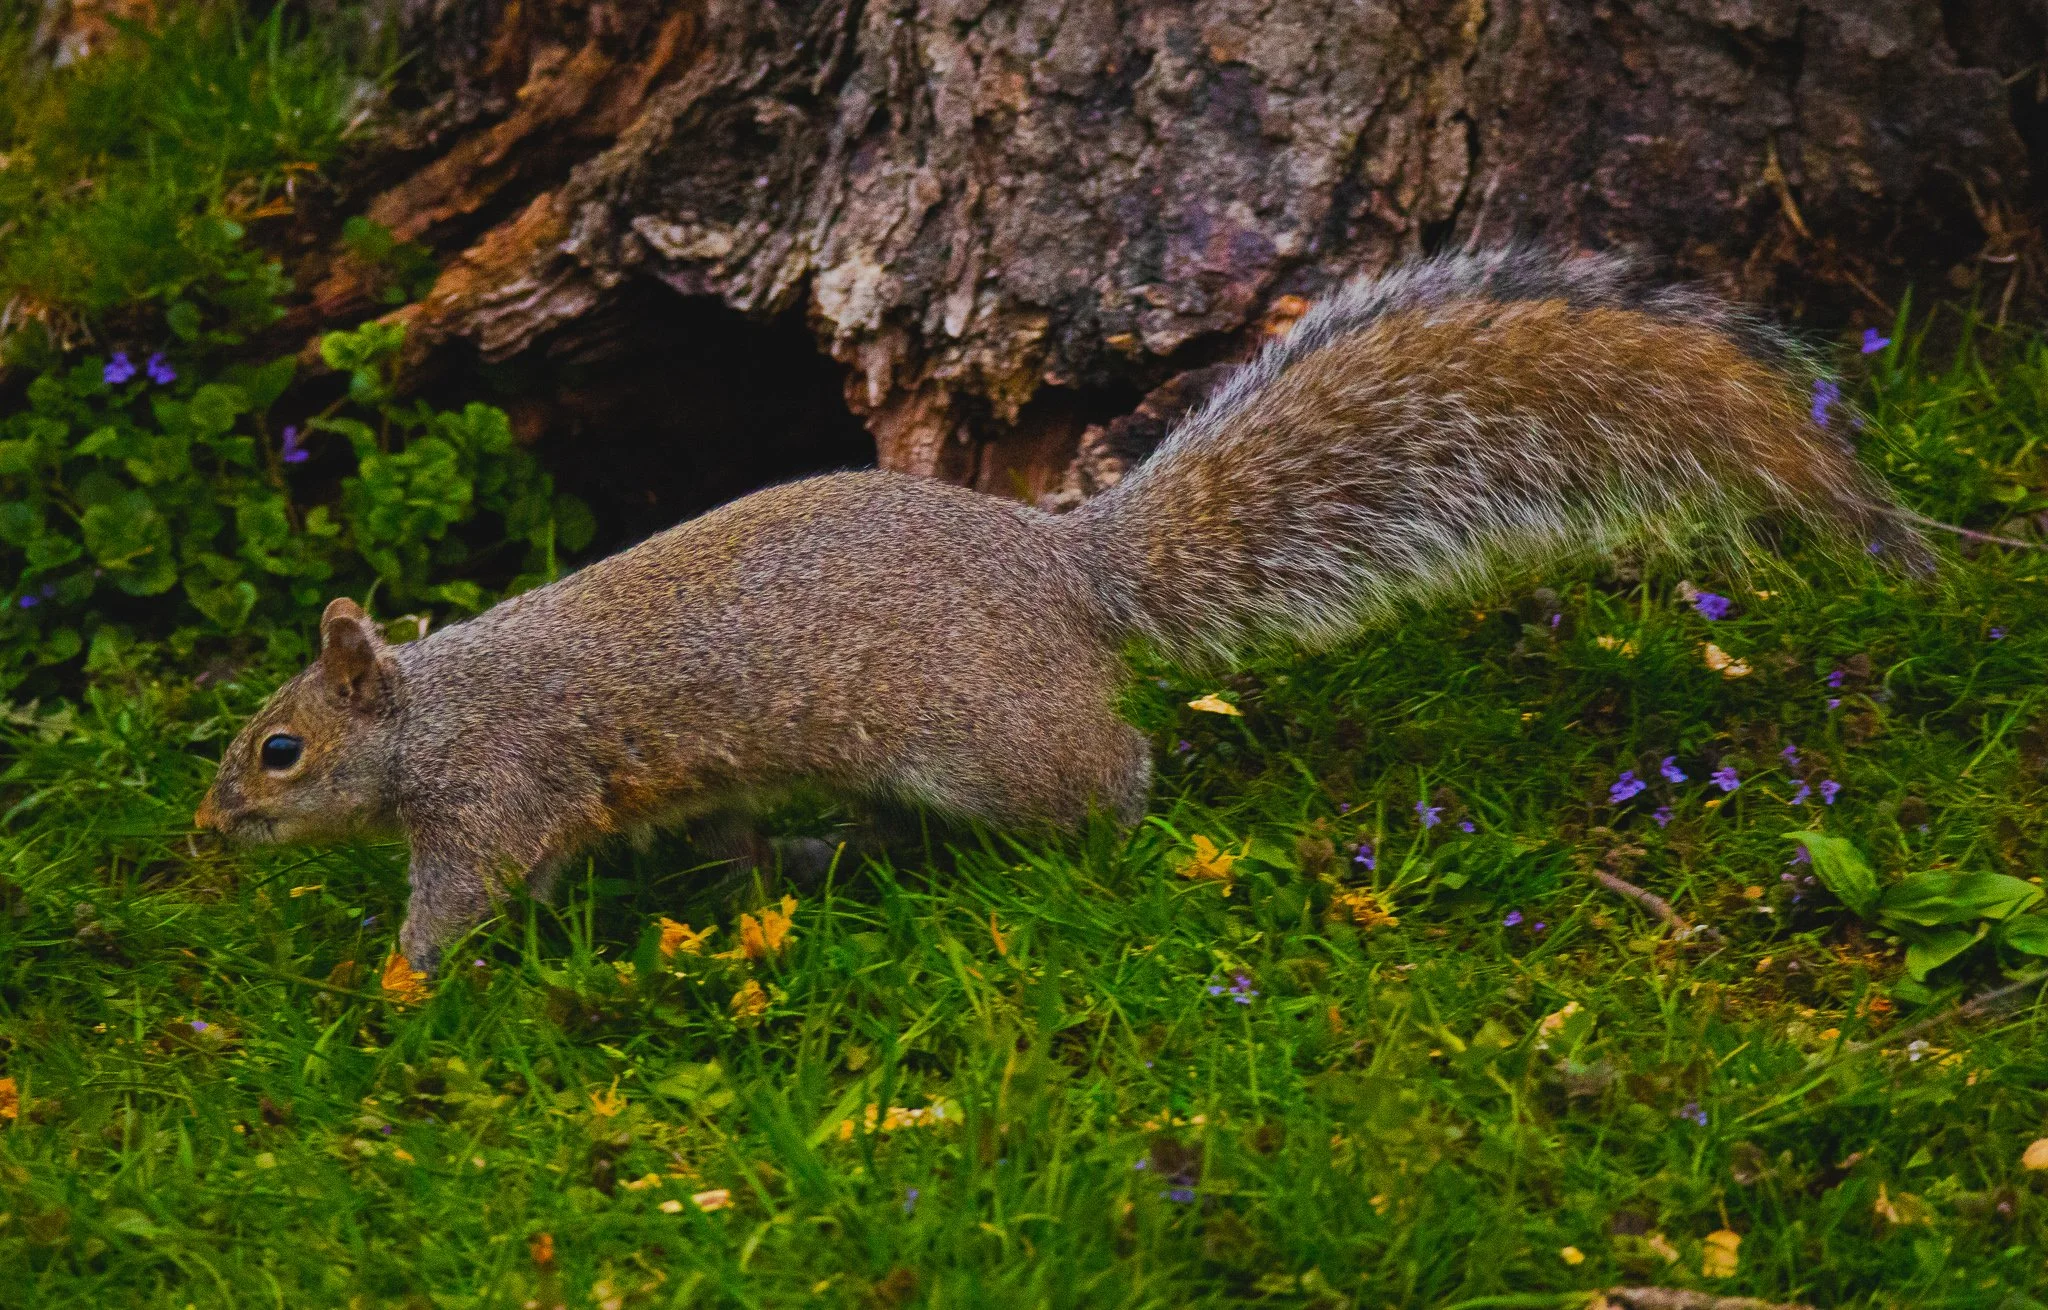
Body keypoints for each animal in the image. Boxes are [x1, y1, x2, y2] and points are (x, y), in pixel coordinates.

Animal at [195, 246, 1924, 971]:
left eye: (278, 748)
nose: (204, 834)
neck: (433, 706)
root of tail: (1062, 569)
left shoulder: (494, 790)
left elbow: (462, 896)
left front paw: (395, 986)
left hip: (991, 738)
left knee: (1113, 776)